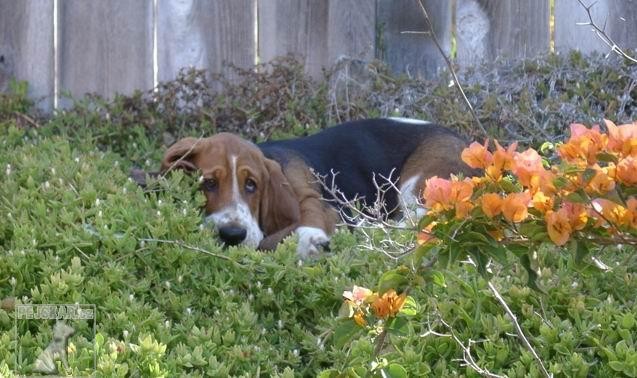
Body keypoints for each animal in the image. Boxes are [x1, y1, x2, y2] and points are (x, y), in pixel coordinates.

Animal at [161, 118, 474, 258]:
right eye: (208, 183)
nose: (233, 235)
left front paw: (309, 239)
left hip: (418, 187)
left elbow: (307, 219)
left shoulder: (315, 201)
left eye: (252, 185)